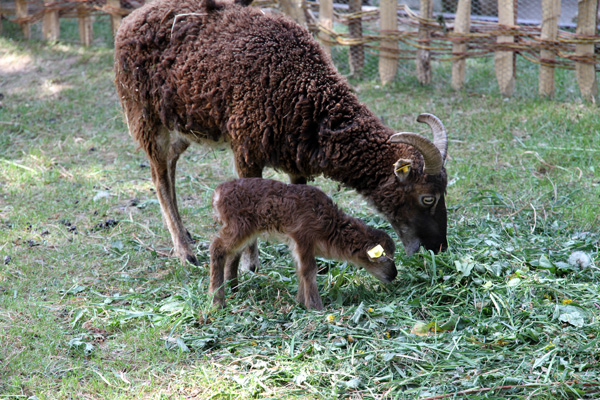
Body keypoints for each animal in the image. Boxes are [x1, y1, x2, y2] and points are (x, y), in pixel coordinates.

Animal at [114, 0, 449, 270]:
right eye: (427, 198)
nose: (438, 248)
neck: (306, 89)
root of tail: (130, 20)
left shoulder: (294, 159)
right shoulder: (246, 151)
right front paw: (250, 265)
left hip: (184, 125)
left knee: (169, 167)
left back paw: (186, 237)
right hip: (146, 117)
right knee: (159, 179)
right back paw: (185, 253)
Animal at [209, 178, 397, 310]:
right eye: (386, 258)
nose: (394, 275)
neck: (329, 225)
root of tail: (217, 193)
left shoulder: (297, 244)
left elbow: (300, 269)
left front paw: (300, 301)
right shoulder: (303, 236)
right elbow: (310, 270)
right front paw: (315, 306)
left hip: (245, 230)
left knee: (232, 254)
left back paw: (233, 289)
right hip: (239, 225)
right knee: (217, 247)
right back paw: (218, 301)